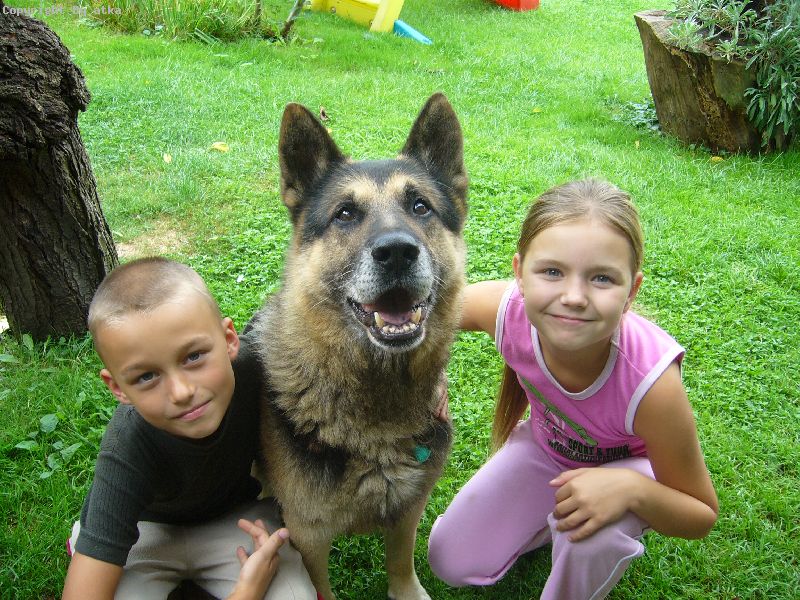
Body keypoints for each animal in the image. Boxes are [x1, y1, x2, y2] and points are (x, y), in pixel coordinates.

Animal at [248, 93, 468, 600]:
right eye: (345, 213)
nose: (397, 252)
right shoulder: (308, 537)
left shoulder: (408, 512)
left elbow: (401, 565)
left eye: (420, 206)